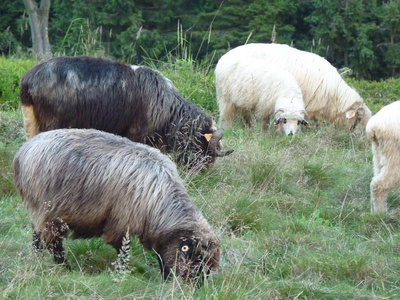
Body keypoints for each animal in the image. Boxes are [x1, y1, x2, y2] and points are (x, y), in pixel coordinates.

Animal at [13, 128, 219, 282]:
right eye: (196, 260)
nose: (195, 289)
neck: (159, 202)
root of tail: (22, 153)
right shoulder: (121, 224)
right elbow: (123, 251)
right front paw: (122, 273)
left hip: (39, 212)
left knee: (37, 237)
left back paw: (37, 259)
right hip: (49, 212)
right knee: (53, 244)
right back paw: (66, 268)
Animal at [20, 55, 233, 169]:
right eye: (203, 147)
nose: (202, 174)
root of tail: (29, 80)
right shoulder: (138, 135)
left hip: (31, 122)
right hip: (51, 123)